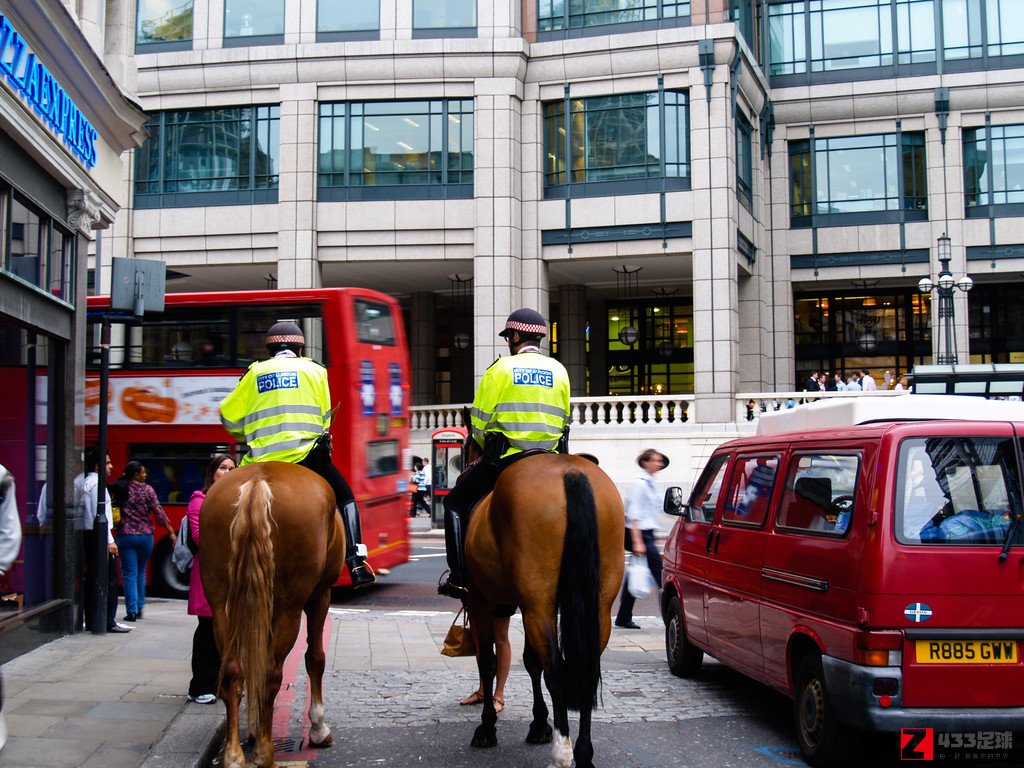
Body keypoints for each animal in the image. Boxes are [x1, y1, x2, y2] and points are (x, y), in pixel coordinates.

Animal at [198, 462, 344, 768]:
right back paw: (265, 753)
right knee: (270, 671)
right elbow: (315, 658)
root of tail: (257, 481)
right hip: (289, 606)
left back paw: (234, 754)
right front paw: (318, 728)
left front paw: (254, 727)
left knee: (233, 670)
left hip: (222, 603)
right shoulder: (321, 596)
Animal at [464, 450, 622, 768]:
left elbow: (488, 661)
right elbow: (529, 661)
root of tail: (571, 472)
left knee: (556, 669)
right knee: (586, 669)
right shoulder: (519, 604)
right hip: (596, 607)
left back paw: (562, 754)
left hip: (537, 604)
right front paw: (539, 724)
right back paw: (583, 754)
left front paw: (487, 727)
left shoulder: (480, 599)